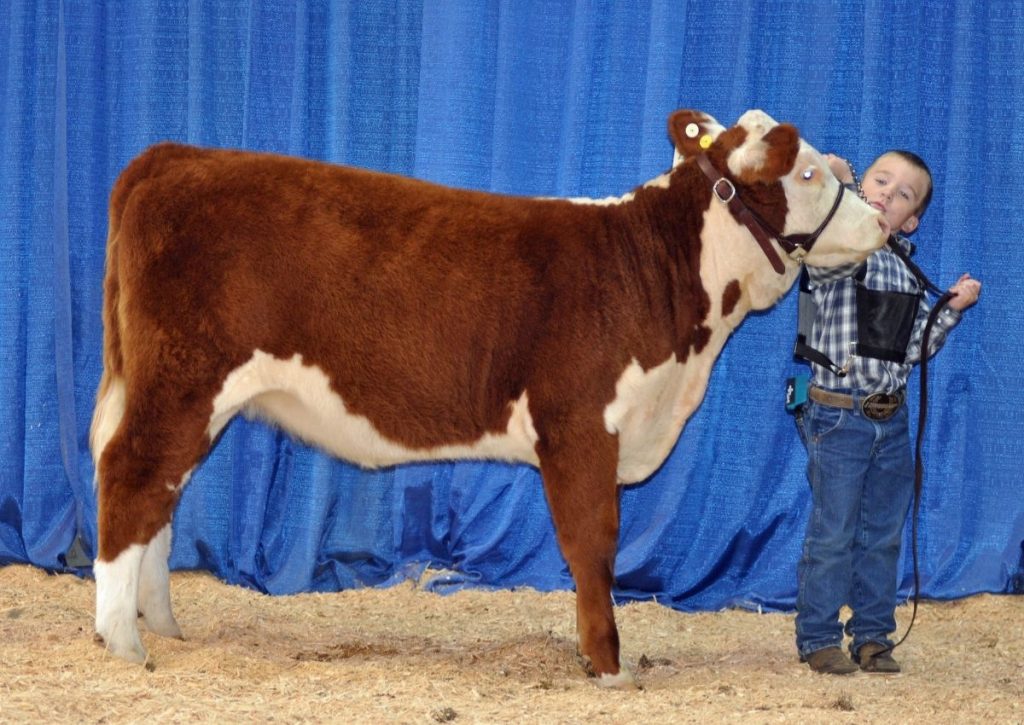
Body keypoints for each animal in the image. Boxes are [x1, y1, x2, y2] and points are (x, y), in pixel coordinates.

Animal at [88, 109, 888, 684]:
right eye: (809, 170)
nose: (882, 220)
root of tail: (175, 155)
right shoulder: (579, 427)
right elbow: (593, 545)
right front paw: (608, 666)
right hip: (184, 379)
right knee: (131, 475)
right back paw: (123, 641)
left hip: (187, 392)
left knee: (161, 496)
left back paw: (162, 623)